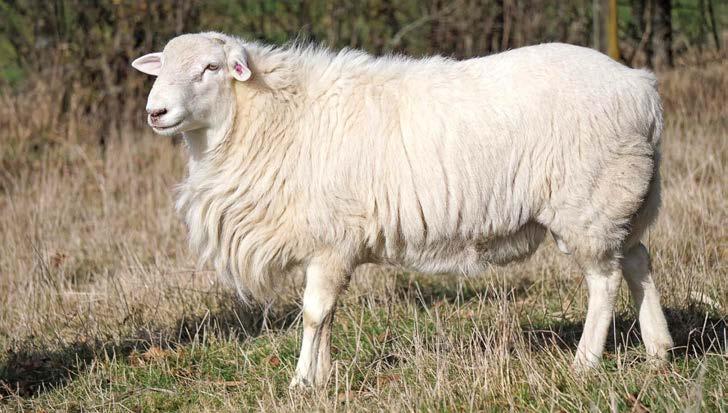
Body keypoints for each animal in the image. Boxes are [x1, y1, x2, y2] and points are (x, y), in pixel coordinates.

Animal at [131, 32, 674, 388]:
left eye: (211, 68)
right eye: (162, 68)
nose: (155, 112)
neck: (272, 117)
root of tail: (642, 87)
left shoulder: (332, 240)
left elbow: (313, 313)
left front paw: (303, 383)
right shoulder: (325, 242)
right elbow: (324, 315)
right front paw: (320, 377)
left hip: (589, 200)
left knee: (604, 281)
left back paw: (585, 363)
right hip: (621, 197)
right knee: (637, 261)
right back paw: (658, 353)